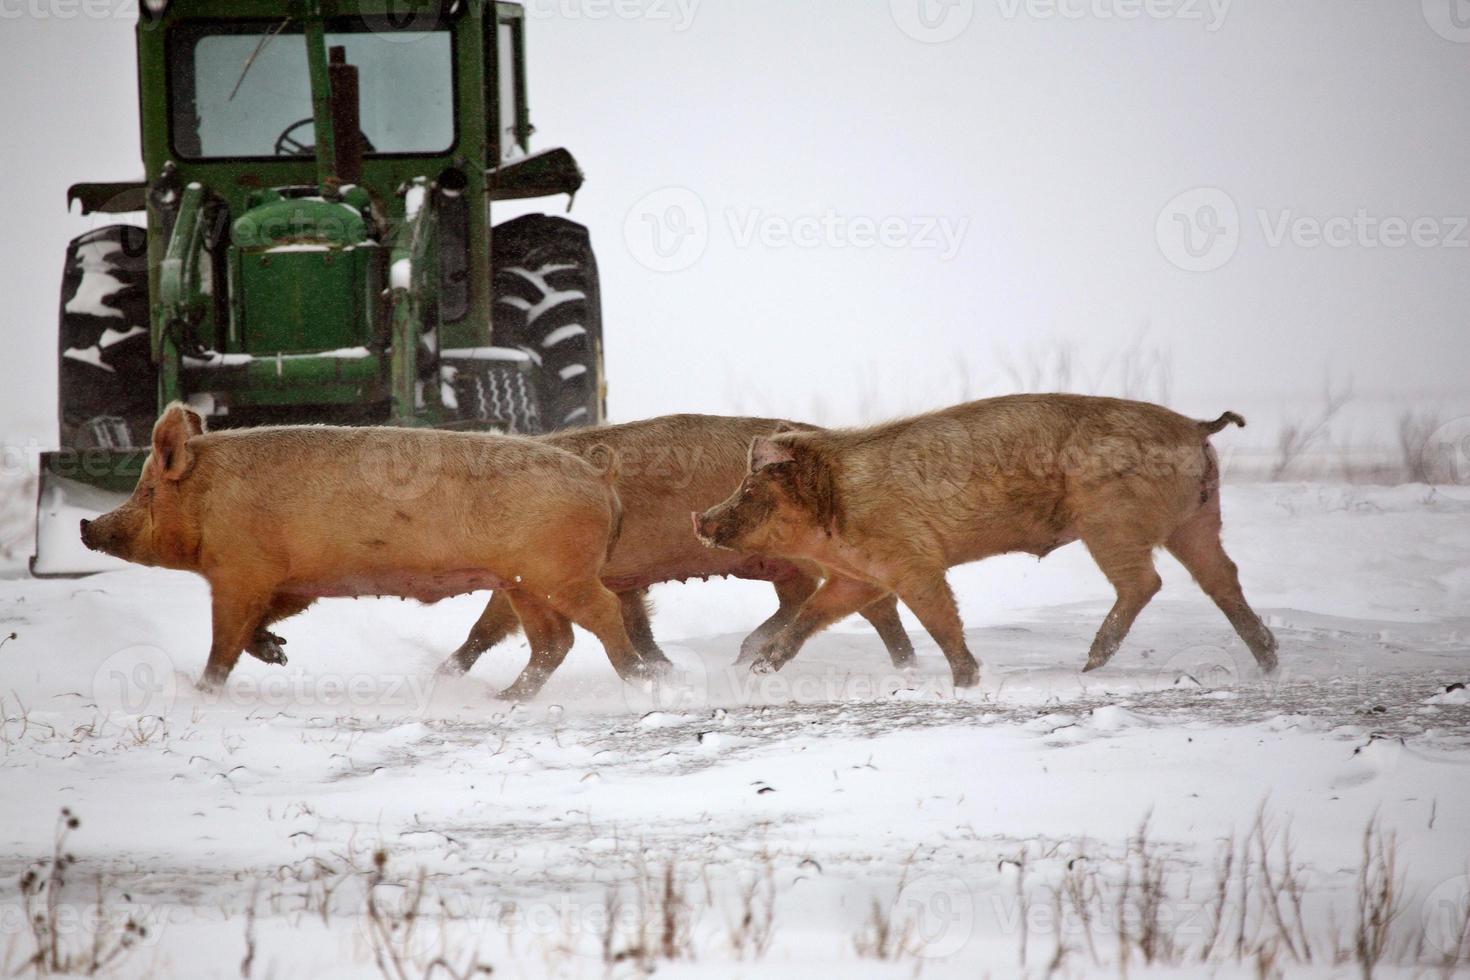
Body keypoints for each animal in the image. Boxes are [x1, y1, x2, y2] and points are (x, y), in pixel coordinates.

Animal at [81, 399, 655, 696]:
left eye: (146, 491)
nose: (87, 525)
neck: (209, 499)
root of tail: (600, 478)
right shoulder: (292, 581)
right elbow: (259, 624)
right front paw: (278, 653)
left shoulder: (240, 572)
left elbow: (224, 642)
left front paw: (204, 692)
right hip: (523, 583)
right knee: (554, 641)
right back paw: (505, 699)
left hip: (558, 572)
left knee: (603, 613)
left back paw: (641, 682)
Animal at [435, 417, 917, 687]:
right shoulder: (619, 580)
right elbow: (637, 627)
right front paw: (668, 672)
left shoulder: (533, 568)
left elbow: (487, 625)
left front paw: (441, 675)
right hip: (777, 563)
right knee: (809, 597)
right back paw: (745, 657)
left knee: (872, 602)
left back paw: (904, 665)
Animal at [693, 390, 1281, 681]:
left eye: (750, 485)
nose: (699, 519)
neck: (836, 505)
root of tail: (1195, 426)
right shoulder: (860, 576)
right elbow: (814, 615)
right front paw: (760, 670)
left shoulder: (914, 561)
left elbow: (941, 618)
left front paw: (965, 680)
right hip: (1196, 520)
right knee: (1221, 578)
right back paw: (1269, 662)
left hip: (1111, 521)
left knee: (1146, 582)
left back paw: (1089, 665)